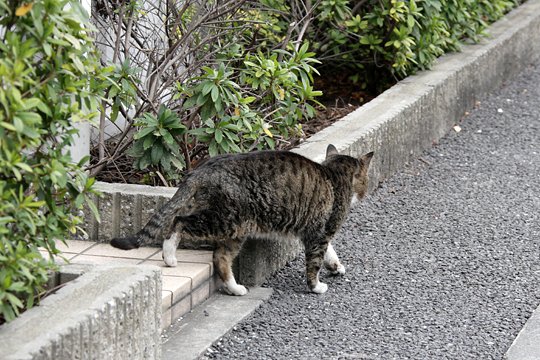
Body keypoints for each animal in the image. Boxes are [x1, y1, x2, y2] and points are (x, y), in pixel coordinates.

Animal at [112, 144, 374, 296]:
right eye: (365, 180)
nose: (364, 193)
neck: (333, 176)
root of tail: (201, 169)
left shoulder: (317, 231)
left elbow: (330, 251)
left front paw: (336, 266)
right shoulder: (320, 233)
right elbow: (315, 261)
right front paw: (316, 286)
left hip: (235, 228)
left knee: (219, 257)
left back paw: (235, 288)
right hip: (226, 220)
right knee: (178, 221)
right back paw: (169, 256)